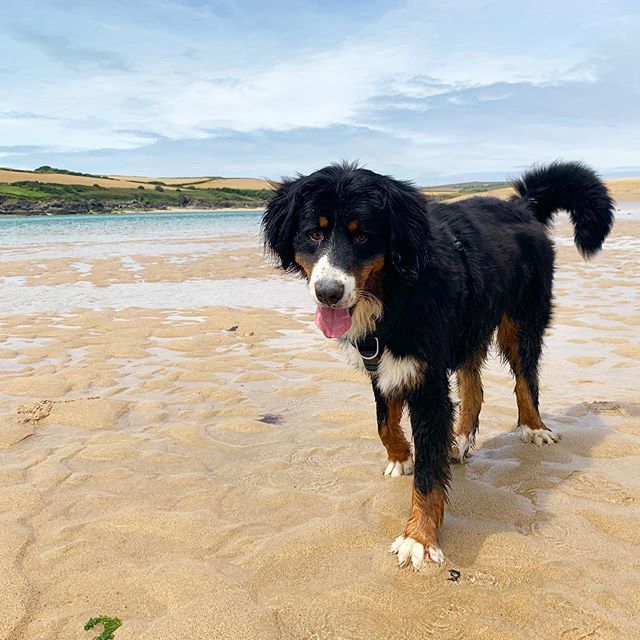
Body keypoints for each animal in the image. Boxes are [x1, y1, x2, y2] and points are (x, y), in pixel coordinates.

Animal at [262, 162, 616, 572]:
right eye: (314, 232)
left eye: (363, 235)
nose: (328, 293)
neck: (395, 293)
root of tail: (520, 205)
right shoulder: (382, 363)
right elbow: (384, 423)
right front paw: (401, 458)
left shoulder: (427, 381)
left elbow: (428, 477)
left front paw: (418, 538)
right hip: (468, 328)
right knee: (474, 387)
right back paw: (459, 440)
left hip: (521, 321)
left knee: (525, 379)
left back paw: (534, 427)